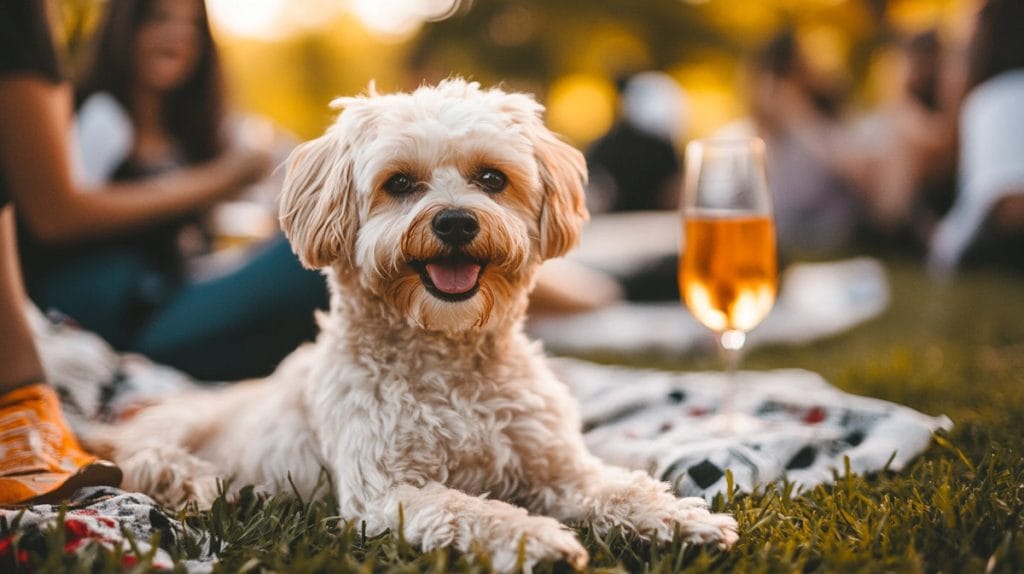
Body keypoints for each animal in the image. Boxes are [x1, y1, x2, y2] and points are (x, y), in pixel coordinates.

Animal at [90, 79, 737, 568]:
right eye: (399, 183)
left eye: (491, 178)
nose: (454, 222)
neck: (449, 359)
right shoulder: (388, 492)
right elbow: (470, 509)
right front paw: (536, 540)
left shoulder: (560, 468)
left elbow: (621, 487)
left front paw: (679, 519)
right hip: (177, 426)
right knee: (153, 459)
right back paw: (191, 483)